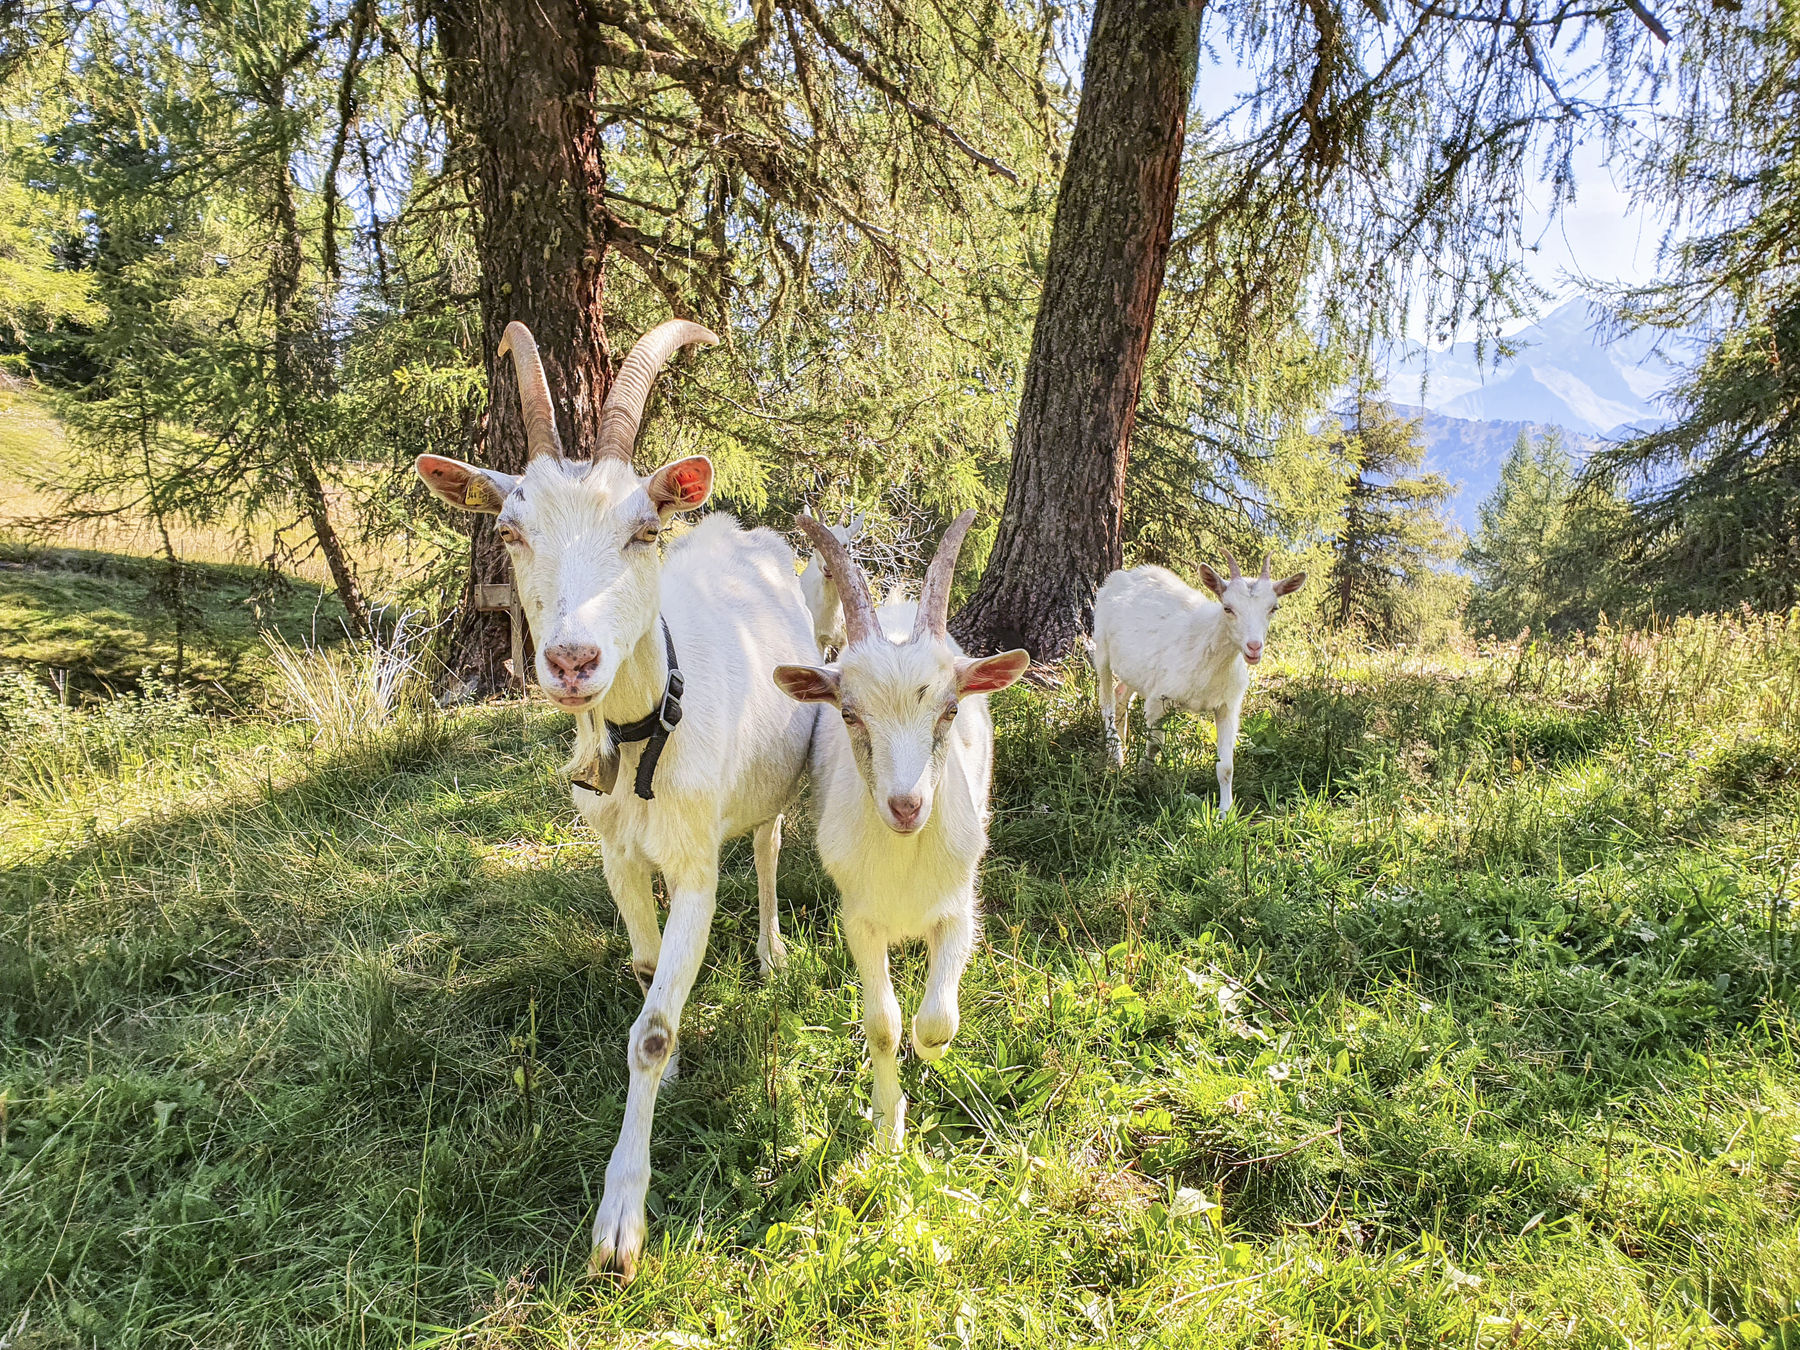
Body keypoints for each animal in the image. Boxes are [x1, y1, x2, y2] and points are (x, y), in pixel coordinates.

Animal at [414, 316, 817, 1281]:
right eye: (511, 530)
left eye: (641, 528)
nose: (571, 660)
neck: (646, 731)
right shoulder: (613, 848)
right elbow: (643, 972)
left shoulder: (700, 859)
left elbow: (654, 1028)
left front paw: (620, 1220)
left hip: (778, 780)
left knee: (769, 849)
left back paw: (773, 950)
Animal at [770, 511, 1029, 1144]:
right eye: (849, 714)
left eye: (950, 710)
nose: (906, 806)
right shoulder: (859, 917)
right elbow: (881, 1023)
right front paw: (889, 1127)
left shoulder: (958, 907)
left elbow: (939, 1020)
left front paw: (926, 1051)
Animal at [1087, 550, 1303, 813]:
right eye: (1227, 608)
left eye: (1273, 608)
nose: (1254, 647)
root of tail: (1125, 574)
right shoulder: (1158, 699)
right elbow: (1155, 745)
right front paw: (1142, 778)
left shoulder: (1228, 706)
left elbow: (1226, 766)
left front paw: (1225, 812)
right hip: (1102, 647)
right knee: (1105, 700)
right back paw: (1116, 756)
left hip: (1135, 668)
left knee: (1121, 693)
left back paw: (1124, 741)